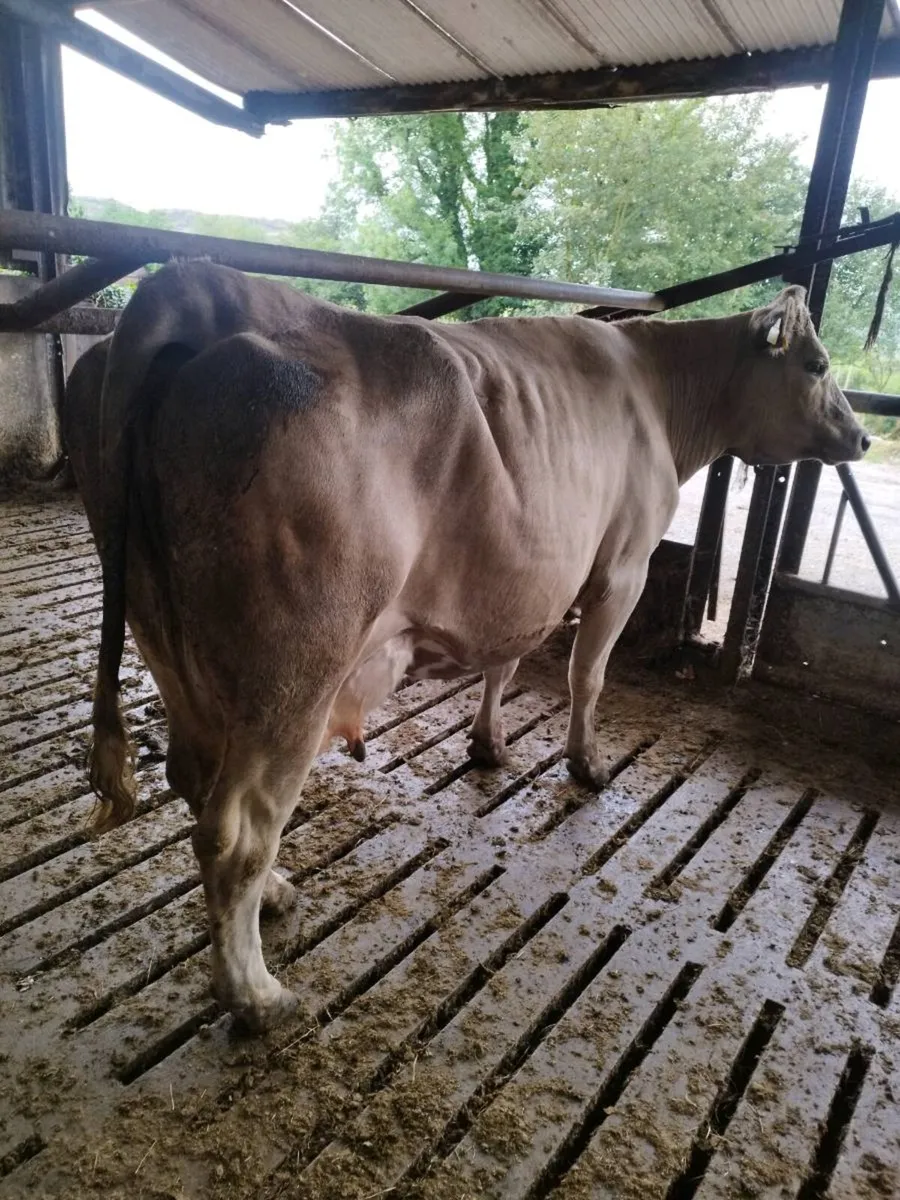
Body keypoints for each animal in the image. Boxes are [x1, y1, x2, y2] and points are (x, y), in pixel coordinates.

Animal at [74, 260, 868, 1031]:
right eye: (817, 363)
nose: (861, 438)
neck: (657, 391)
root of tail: (192, 280)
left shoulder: (520, 580)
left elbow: (506, 661)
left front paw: (488, 743)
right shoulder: (624, 566)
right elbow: (588, 676)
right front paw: (588, 764)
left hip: (168, 643)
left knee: (192, 779)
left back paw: (273, 895)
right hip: (293, 677)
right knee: (235, 832)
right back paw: (257, 995)